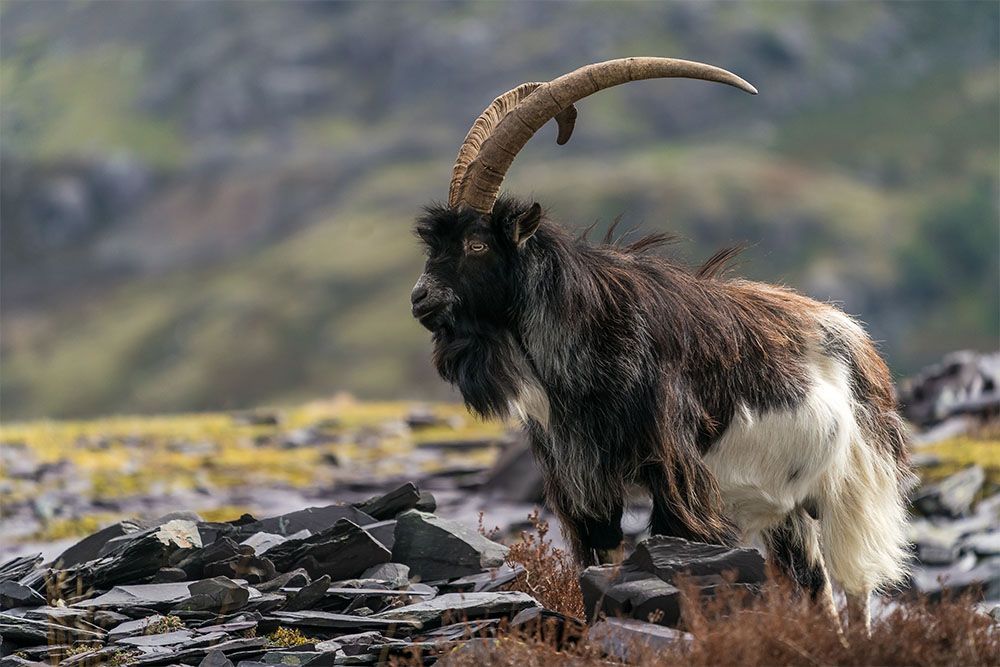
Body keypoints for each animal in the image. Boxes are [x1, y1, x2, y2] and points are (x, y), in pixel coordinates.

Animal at [410, 57, 914, 630]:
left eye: (476, 244)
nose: (420, 298)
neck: (593, 334)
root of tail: (861, 343)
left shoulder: (674, 470)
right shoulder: (583, 478)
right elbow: (602, 554)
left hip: (853, 491)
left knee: (856, 587)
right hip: (785, 509)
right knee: (815, 587)